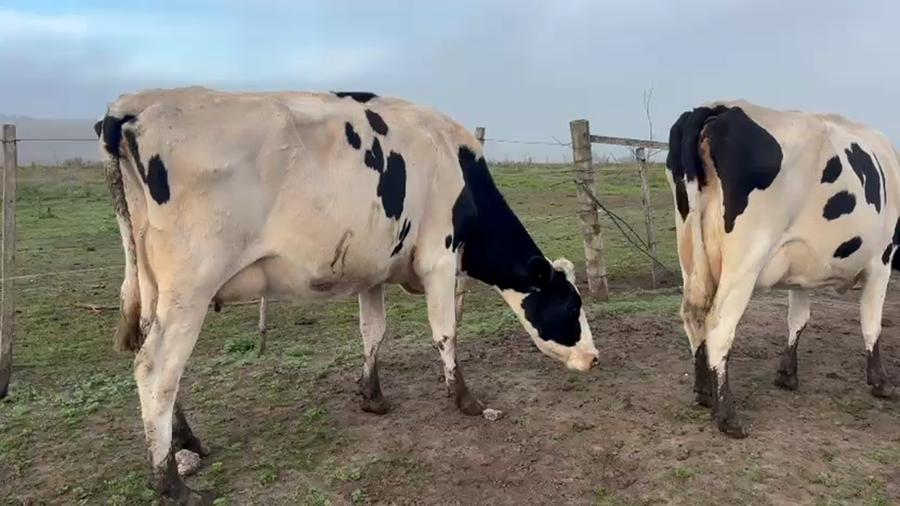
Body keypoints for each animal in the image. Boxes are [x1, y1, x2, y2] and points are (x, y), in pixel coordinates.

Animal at [94, 86, 599, 504]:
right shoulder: (439, 258)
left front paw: (372, 396)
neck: (456, 165)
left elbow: (373, 332)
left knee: (155, 359)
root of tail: (135, 104)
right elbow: (446, 333)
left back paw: (187, 442)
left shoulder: (372, 268)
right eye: (572, 304)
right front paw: (466, 400)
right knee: (157, 369)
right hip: (190, 287)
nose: (594, 358)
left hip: (155, 287)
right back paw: (171, 482)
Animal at [665, 99, 900, 439]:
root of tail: (718, 108)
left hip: (689, 253)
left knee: (692, 316)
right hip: (746, 258)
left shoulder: (799, 268)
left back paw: (705, 393)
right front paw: (881, 382)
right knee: (718, 325)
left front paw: (787, 374)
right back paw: (728, 417)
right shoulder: (882, 258)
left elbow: (798, 319)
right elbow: (871, 322)